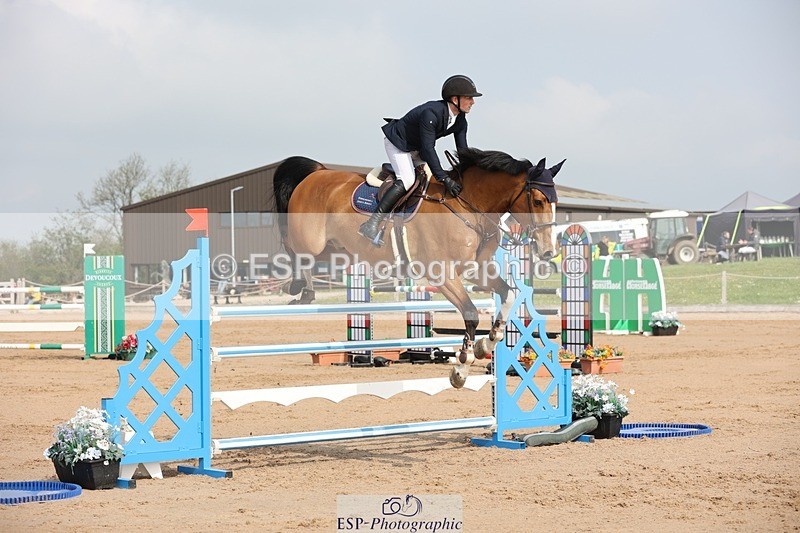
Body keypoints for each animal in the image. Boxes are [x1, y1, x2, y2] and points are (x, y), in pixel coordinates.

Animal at [273, 147, 563, 388]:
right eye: (538, 201)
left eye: (555, 202)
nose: (548, 251)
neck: (469, 206)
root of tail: (317, 173)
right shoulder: (443, 274)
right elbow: (470, 314)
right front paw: (462, 368)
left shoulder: (477, 269)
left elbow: (508, 294)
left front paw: (486, 344)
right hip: (312, 241)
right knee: (292, 246)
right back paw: (299, 288)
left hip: (336, 246)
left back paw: (303, 290)